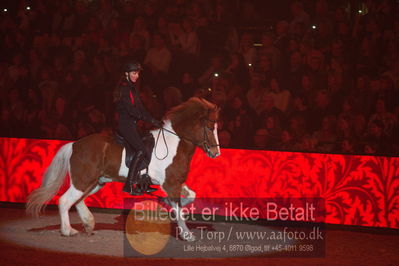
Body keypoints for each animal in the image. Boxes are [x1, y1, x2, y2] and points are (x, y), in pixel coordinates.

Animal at [27, 97, 222, 241]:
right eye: (209, 127)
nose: (216, 153)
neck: (175, 142)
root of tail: (74, 144)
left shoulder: (175, 182)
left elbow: (190, 196)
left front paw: (166, 204)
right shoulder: (170, 183)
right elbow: (179, 208)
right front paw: (187, 234)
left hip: (96, 182)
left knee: (78, 200)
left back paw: (88, 223)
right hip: (83, 181)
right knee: (65, 200)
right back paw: (68, 231)